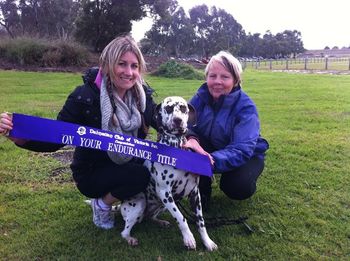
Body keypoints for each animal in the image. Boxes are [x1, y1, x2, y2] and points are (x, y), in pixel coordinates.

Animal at [121, 95, 219, 250]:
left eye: (183, 108)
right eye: (168, 108)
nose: (177, 120)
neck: (176, 147)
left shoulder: (195, 194)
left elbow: (200, 221)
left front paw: (207, 242)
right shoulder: (165, 193)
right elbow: (181, 217)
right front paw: (188, 238)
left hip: (161, 206)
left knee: (151, 217)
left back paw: (161, 222)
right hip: (140, 204)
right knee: (124, 232)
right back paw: (130, 238)